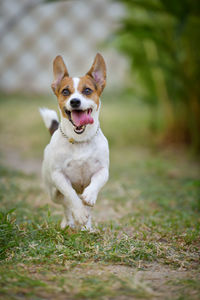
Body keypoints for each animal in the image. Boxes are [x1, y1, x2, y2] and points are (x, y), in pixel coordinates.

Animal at [39, 53, 109, 230]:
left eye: (87, 90)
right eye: (65, 91)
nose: (75, 101)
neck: (80, 140)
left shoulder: (103, 170)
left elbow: (95, 183)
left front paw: (89, 197)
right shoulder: (58, 175)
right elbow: (70, 196)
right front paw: (78, 213)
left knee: (86, 205)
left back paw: (87, 226)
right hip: (53, 192)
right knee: (65, 203)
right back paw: (69, 221)